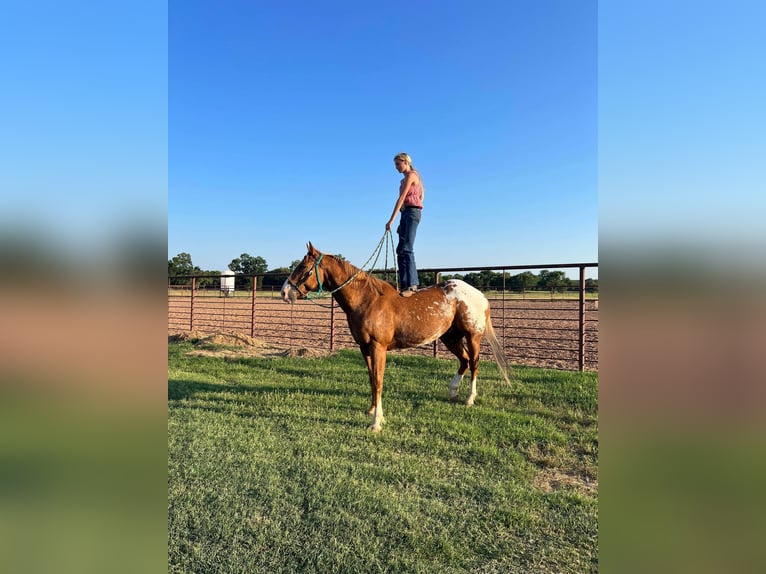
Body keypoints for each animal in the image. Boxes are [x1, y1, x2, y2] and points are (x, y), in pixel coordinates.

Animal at [280, 242, 510, 432]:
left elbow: (379, 381)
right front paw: (372, 411)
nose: (284, 292)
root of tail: (479, 295)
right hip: (450, 337)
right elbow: (371, 379)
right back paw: (453, 392)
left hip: (472, 336)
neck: (367, 300)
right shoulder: (364, 348)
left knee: (474, 362)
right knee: (464, 361)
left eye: (304, 268)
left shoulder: (378, 347)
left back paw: (470, 398)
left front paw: (376, 423)